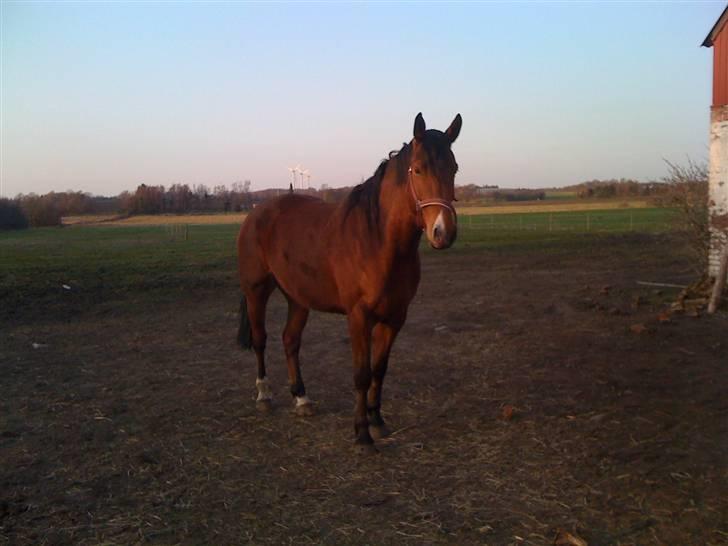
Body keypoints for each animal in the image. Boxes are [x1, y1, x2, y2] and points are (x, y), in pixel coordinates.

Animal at [237, 111, 460, 450]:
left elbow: (379, 370)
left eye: (454, 168)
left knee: (290, 340)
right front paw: (362, 433)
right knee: (261, 339)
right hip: (257, 290)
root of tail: (257, 212)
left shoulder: (395, 317)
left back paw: (302, 399)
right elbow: (361, 373)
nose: (443, 233)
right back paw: (264, 395)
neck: (377, 239)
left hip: (297, 297)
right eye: (419, 169)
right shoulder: (358, 316)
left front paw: (378, 421)